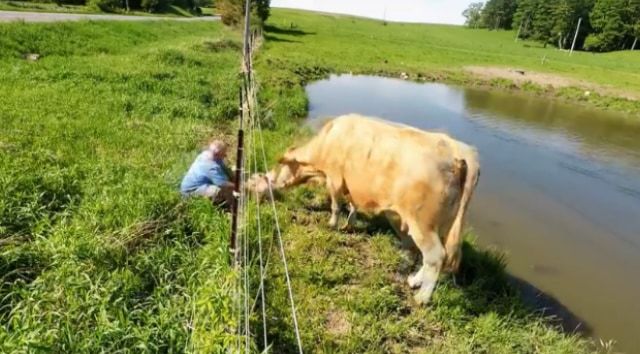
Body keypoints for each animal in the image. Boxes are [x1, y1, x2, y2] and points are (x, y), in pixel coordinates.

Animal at [268, 113, 478, 304]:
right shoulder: (352, 184)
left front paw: (332, 224)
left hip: (423, 223)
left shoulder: (335, 177)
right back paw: (414, 281)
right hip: (443, 224)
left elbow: (336, 204)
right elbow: (352, 205)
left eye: (281, 168)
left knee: (435, 256)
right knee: (432, 256)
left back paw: (422, 297)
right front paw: (349, 224)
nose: (273, 183)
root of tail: (457, 150)